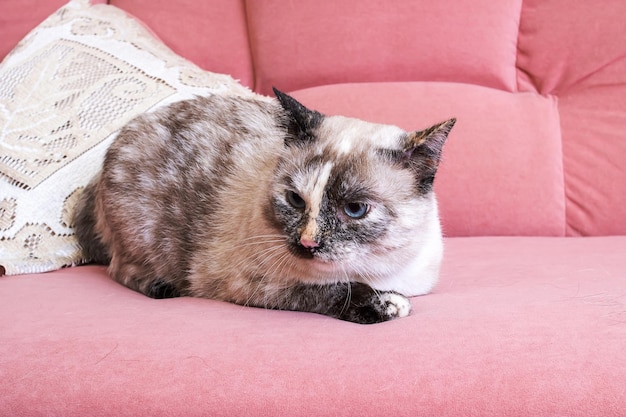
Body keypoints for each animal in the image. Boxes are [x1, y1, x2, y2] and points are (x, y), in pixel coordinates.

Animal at [73, 87, 454, 322]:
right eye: (295, 200)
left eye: (355, 209)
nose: (308, 243)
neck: (373, 270)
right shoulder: (253, 284)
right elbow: (332, 292)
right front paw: (387, 305)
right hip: (148, 242)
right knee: (120, 270)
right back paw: (163, 287)